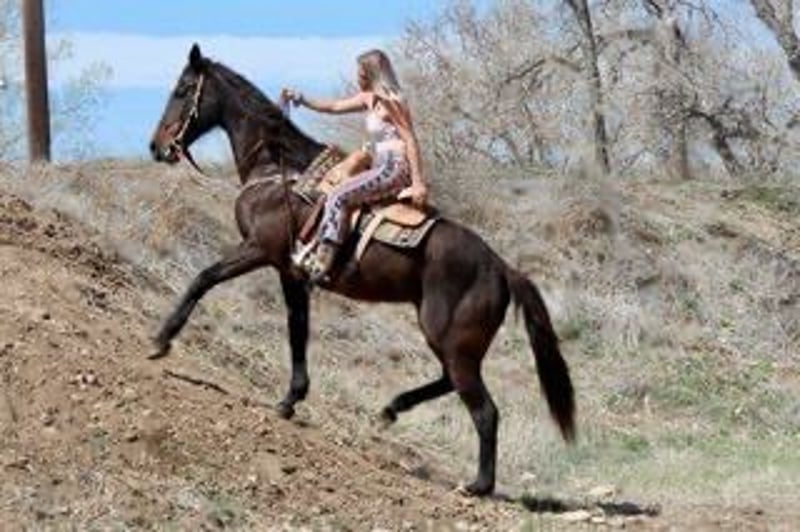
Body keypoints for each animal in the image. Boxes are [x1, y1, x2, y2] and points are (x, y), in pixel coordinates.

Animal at [148, 43, 575, 496]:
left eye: (182, 90)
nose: (157, 146)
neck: (278, 170)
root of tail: (501, 267)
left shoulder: (258, 250)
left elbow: (204, 278)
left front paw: (161, 340)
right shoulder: (291, 272)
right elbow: (297, 330)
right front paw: (291, 399)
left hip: (450, 339)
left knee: (484, 409)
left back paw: (478, 485)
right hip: (451, 341)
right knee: (450, 380)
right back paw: (391, 409)